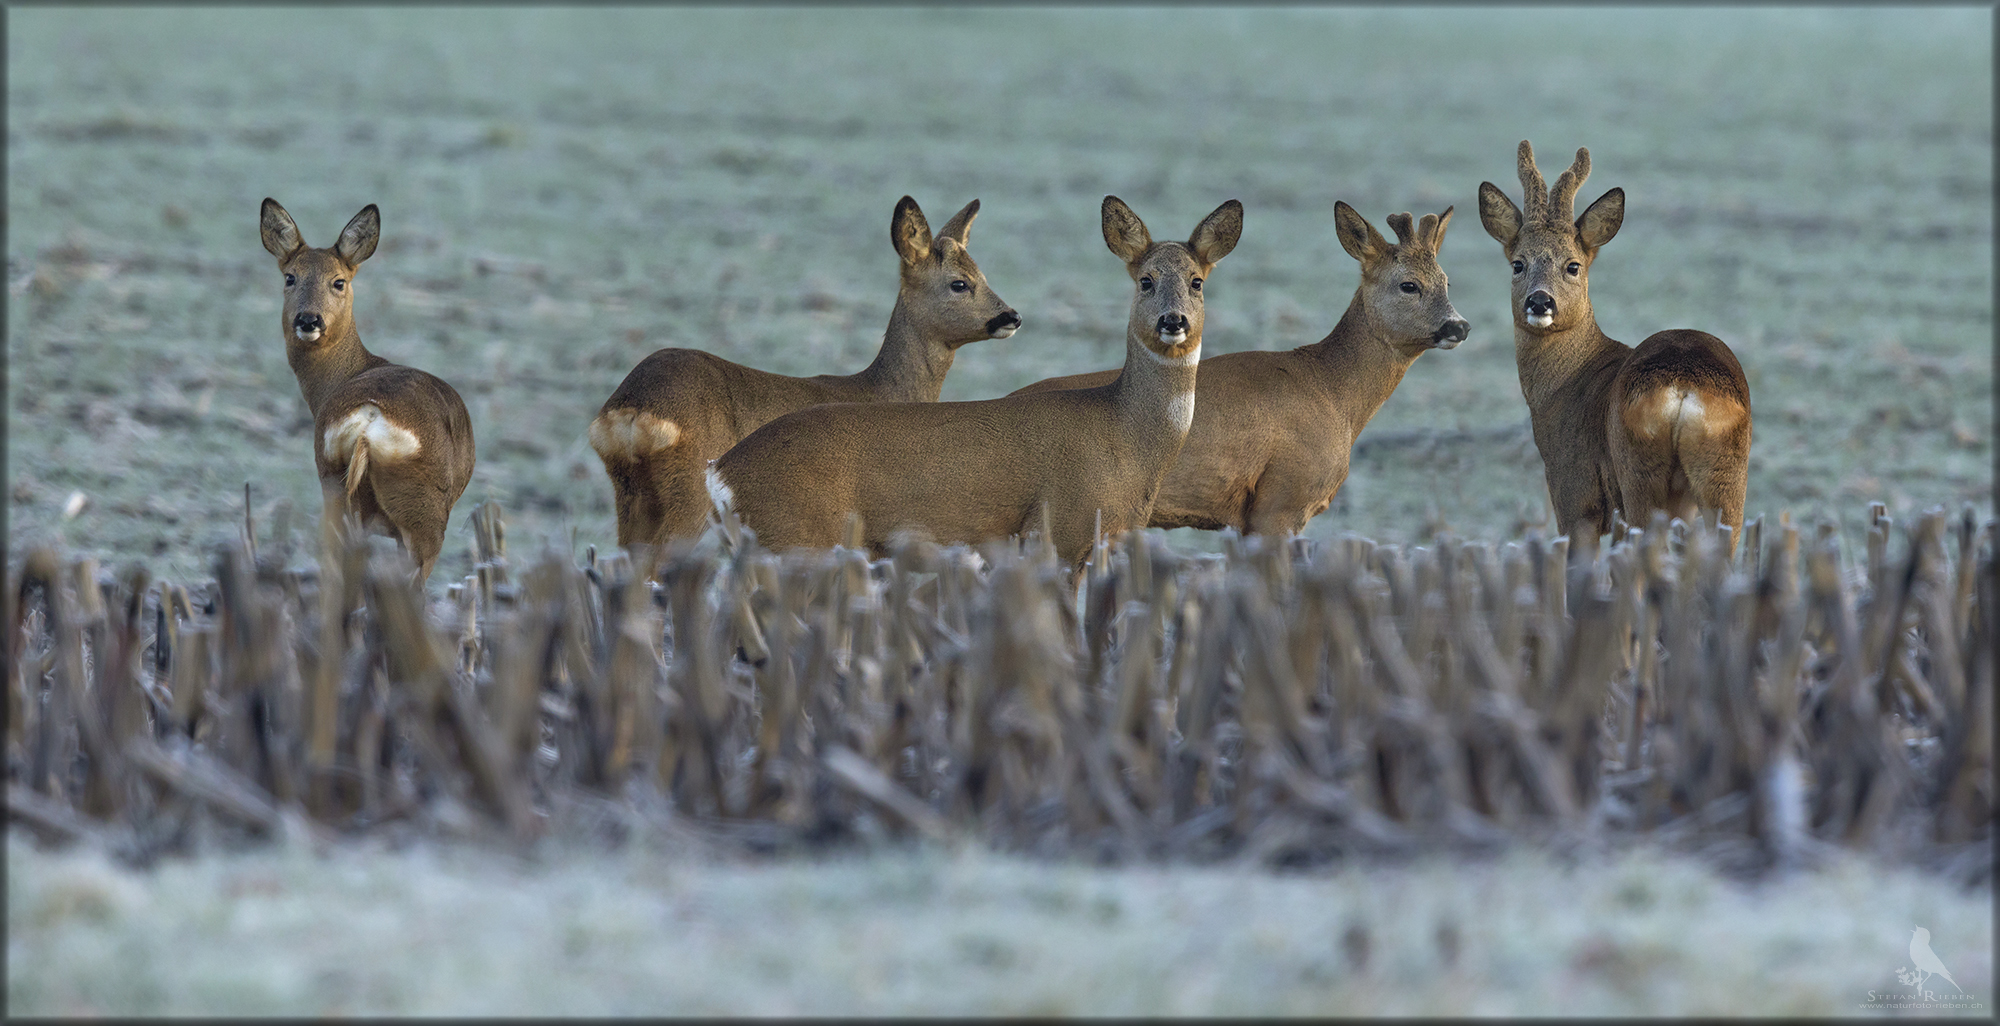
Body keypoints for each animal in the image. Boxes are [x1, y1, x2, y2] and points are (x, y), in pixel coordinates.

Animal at [258, 198, 476, 584]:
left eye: (338, 281)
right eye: (290, 277)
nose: (308, 320)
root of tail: (369, 420)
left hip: (333, 484)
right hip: (424, 515)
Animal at [584, 199, 1024, 552]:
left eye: (983, 275)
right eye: (959, 283)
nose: (1012, 316)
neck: (881, 390)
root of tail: (629, 409)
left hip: (632, 497)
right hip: (688, 494)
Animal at [712, 196, 1240, 564]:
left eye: (1197, 281)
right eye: (1145, 281)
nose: (1173, 321)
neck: (1126, 437)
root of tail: (720, 473)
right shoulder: (1058, 529)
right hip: (796, 538)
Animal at [1472, 142, 1752, 552]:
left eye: (1573, 265)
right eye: (1517, 264)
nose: (1539, 302)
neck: (1565, 383)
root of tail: (1684, 388)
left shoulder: (1572, 488)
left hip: (1638, 475)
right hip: (1724, 476)